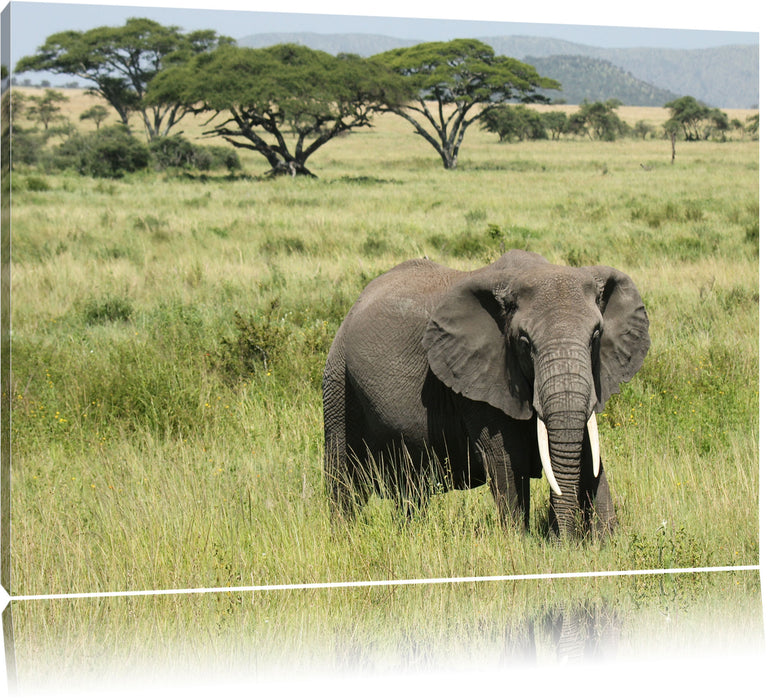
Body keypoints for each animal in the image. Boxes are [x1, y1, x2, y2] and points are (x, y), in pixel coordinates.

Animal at [320, 249, 648, 540]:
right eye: (524, 342)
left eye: (596, 335)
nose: (560, 539)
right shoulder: (479, 381)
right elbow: (505, 456)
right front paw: (520, 545)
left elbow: (589, 450)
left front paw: (607, 543)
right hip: (338, 380)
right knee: (344, 476)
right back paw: (343, 539)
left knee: (413, 490)